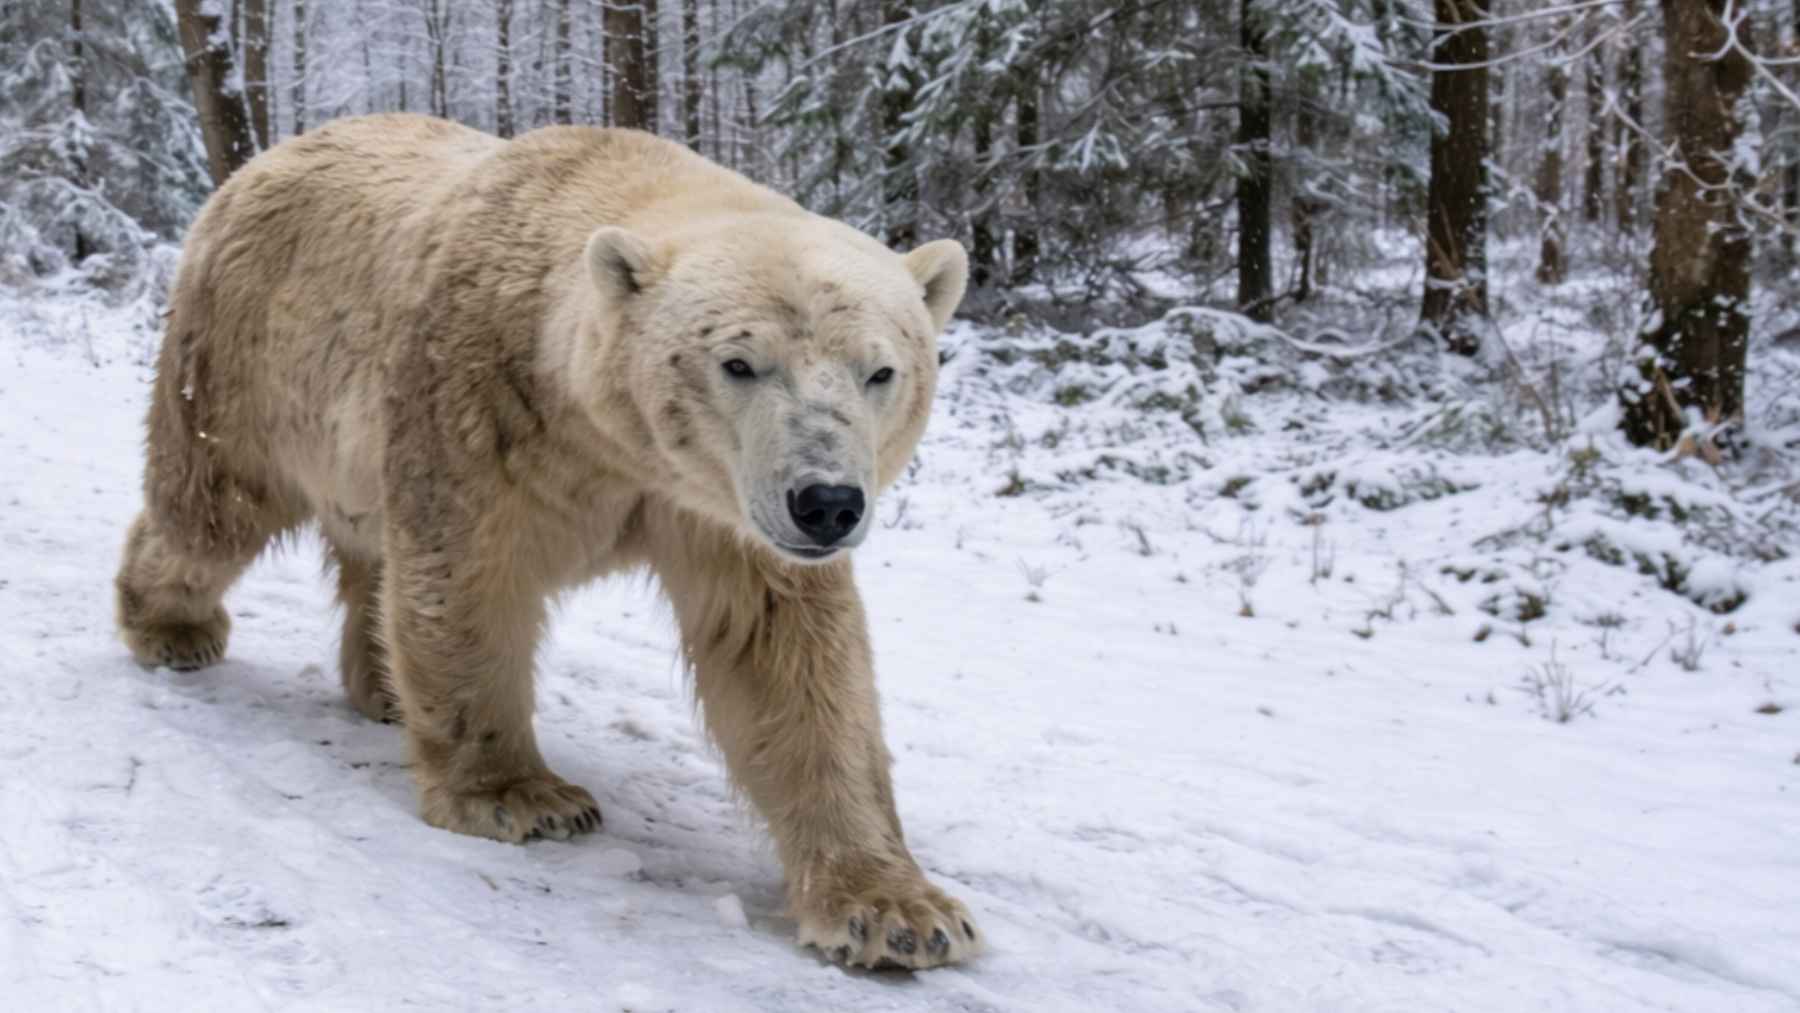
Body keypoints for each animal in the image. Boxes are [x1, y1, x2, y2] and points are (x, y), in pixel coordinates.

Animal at [113, 113, 977, 969]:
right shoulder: (477, 407)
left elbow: (786, 654)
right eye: (739, 362)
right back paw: (173, 626)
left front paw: (896, 910)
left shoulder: (720, 505)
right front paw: (521, 797)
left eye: (881, 371)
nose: (827, 503)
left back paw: (384, 687)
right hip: (247, 357)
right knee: (210, 504)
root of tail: (259, 165)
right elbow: (466, 579)